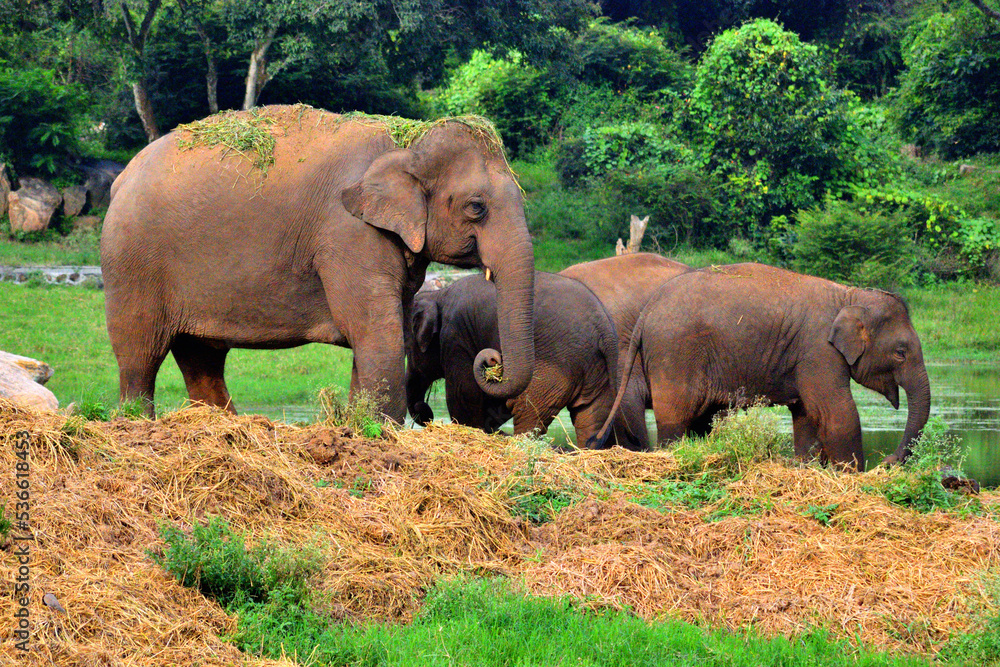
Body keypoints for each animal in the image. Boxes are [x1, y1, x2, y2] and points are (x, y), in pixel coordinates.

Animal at [101, 106, 535, 419]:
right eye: (476, 207)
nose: (492, 361)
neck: (408, 139)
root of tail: (122, 176)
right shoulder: (348, 235)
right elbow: (374, 331)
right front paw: (380, 432)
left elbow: (382, 332)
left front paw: (359, 426)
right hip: (132, 264)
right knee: (140, 355)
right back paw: (136, 423)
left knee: (202, 358)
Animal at [406, 271, 629, 447]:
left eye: (407, 348)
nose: (423, 409)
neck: (438, 294)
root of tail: (605, 330)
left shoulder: (456, 338)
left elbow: (464, 396)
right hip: (597, 369)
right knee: (590, 416)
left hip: (555, 368)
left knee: (528, 412)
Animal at [595, 263, 931, 470]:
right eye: (900, 353)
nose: (886, 461)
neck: (849, 295)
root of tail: (647, 311)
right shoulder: (817, 351)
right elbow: (836, 413)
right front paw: (853, 476)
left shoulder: (804, 357)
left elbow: (806, 415)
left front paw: (807, 467)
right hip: (675, 353)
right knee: (676, 417)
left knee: (701, 419)